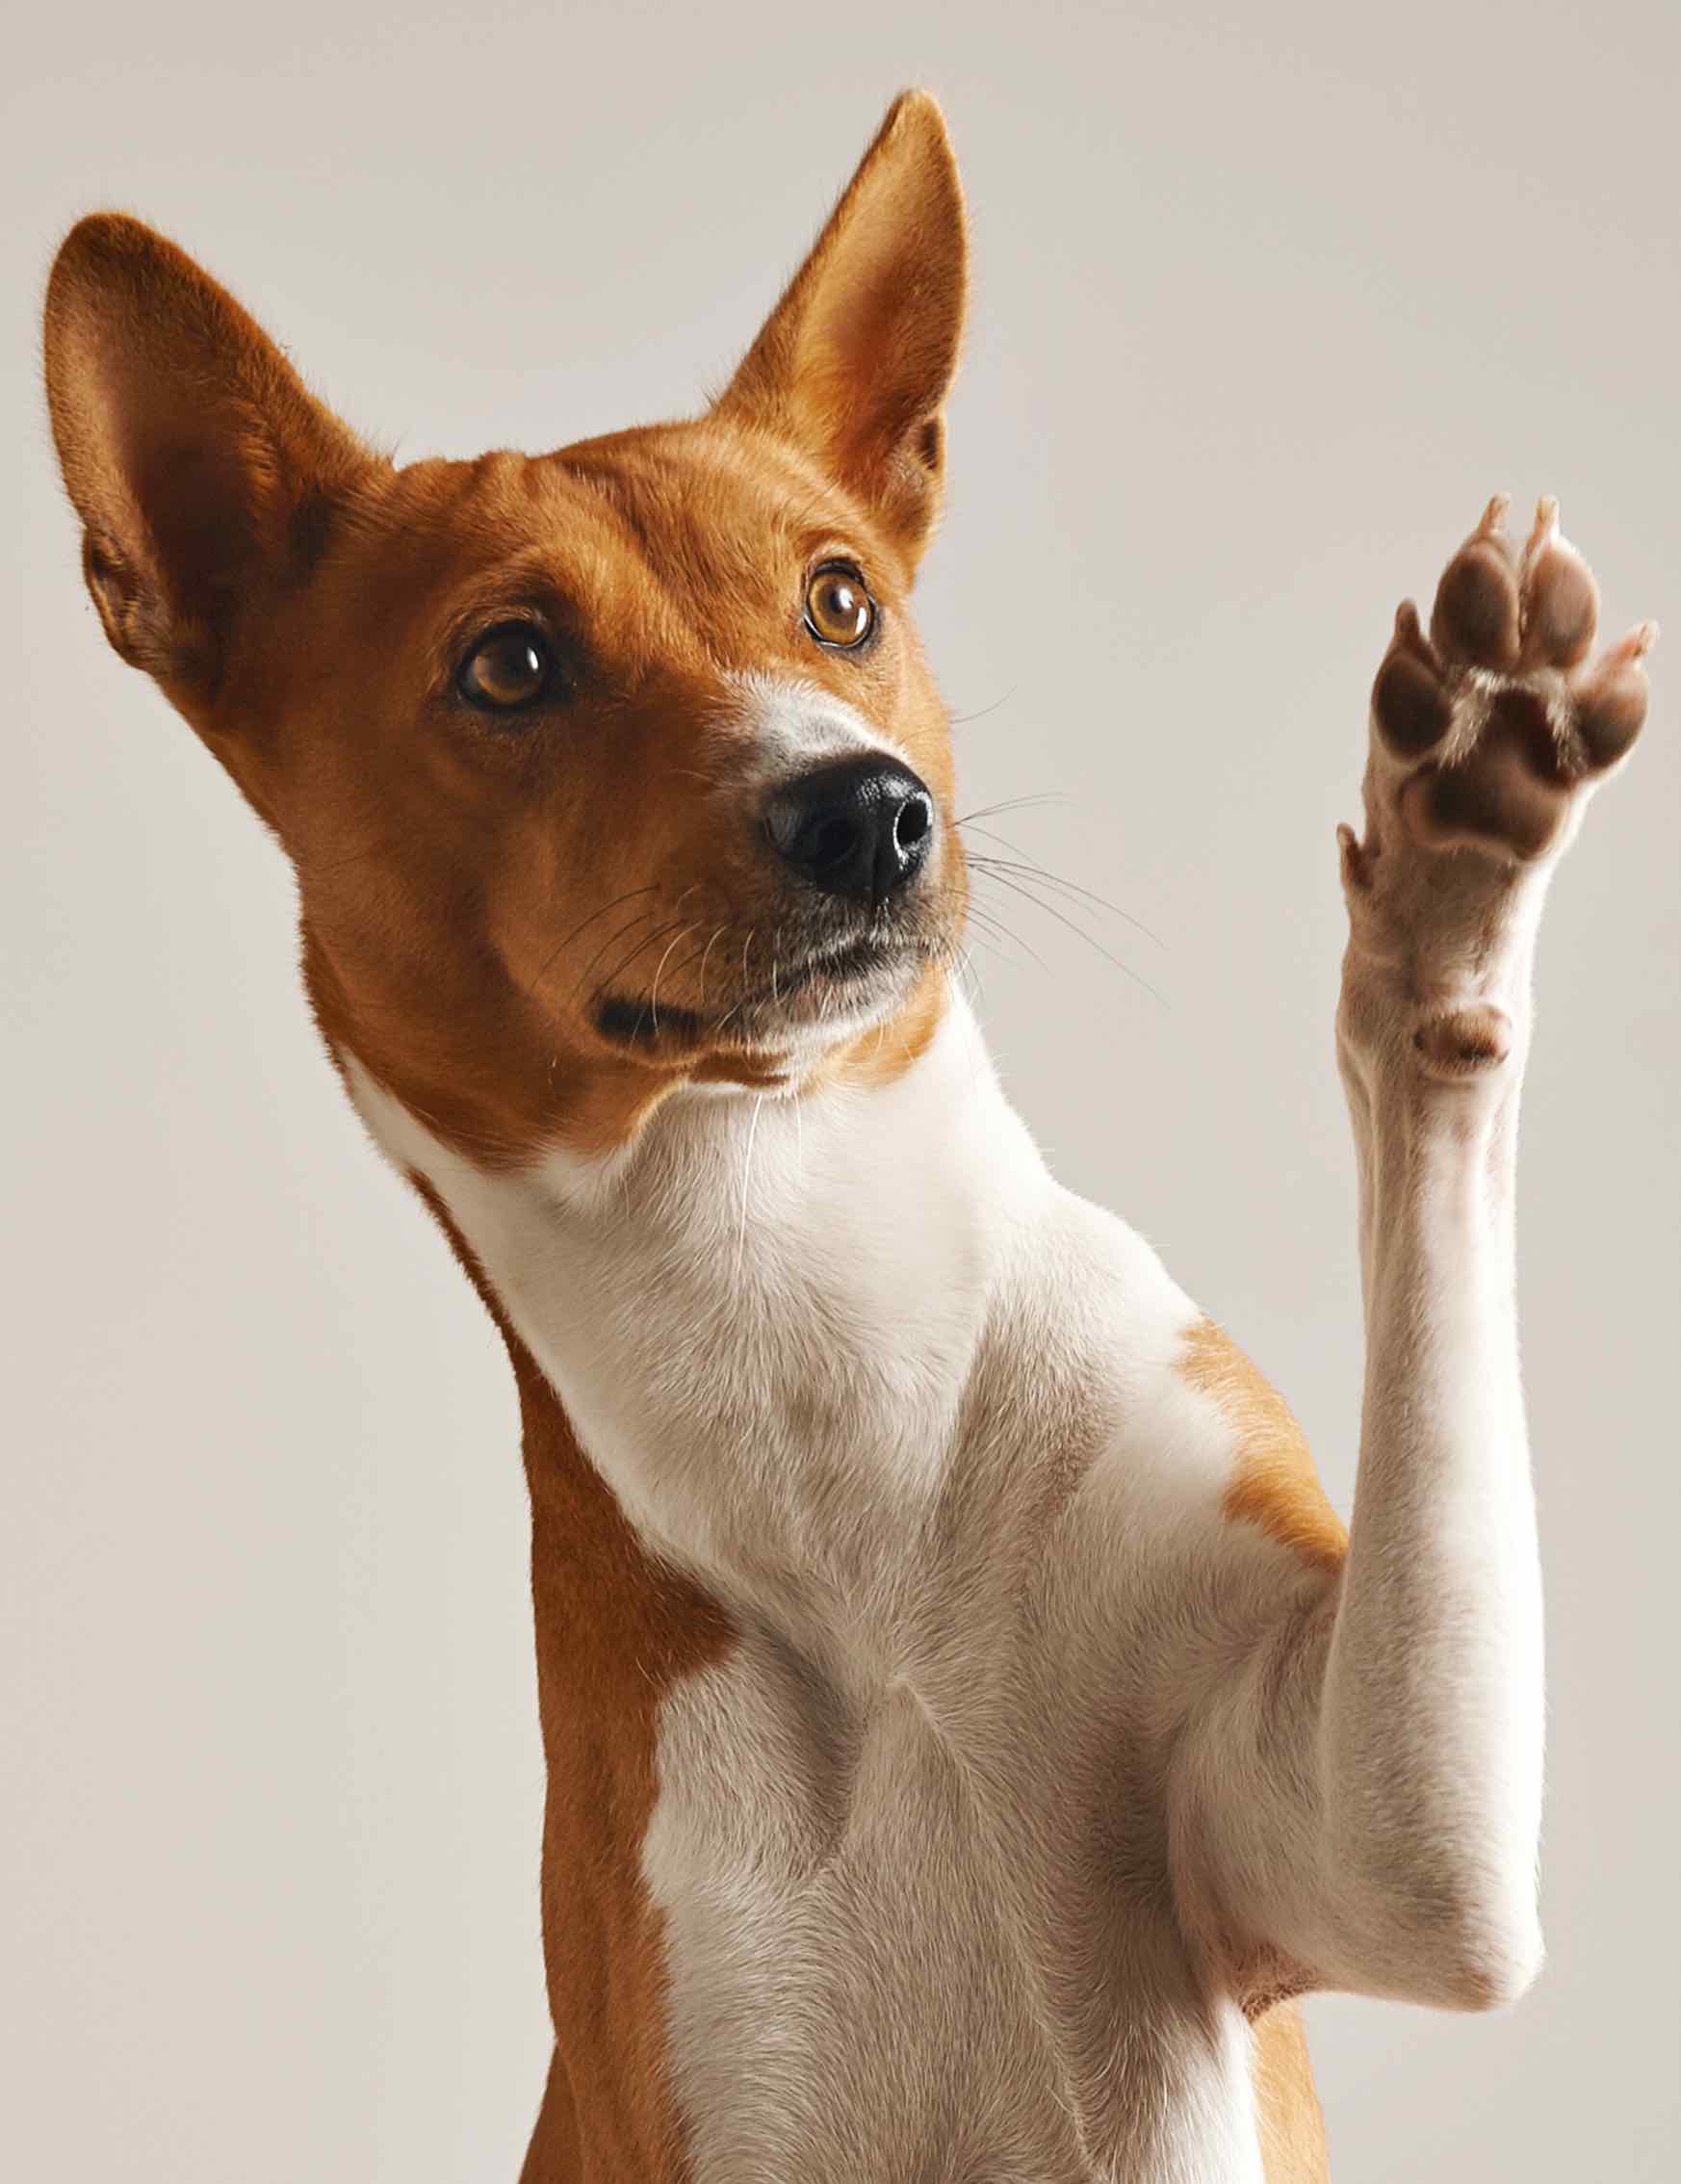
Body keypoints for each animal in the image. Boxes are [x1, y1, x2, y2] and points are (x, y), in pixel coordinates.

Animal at [45, 89, 1659, 2184]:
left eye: (839, 600)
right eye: (511, 664)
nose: (865, 808)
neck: (818, 1377)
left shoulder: (1380, 1841)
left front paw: (1462, 841)